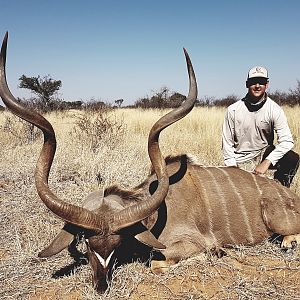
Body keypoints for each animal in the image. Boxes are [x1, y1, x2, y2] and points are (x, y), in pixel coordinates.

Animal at [0, 31, 300, 292]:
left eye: (117, 243)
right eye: (88, 244)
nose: (101, 286)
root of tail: (288, 195)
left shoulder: (188, 243)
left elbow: (158, 262)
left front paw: (215, 252)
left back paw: (288, 243)